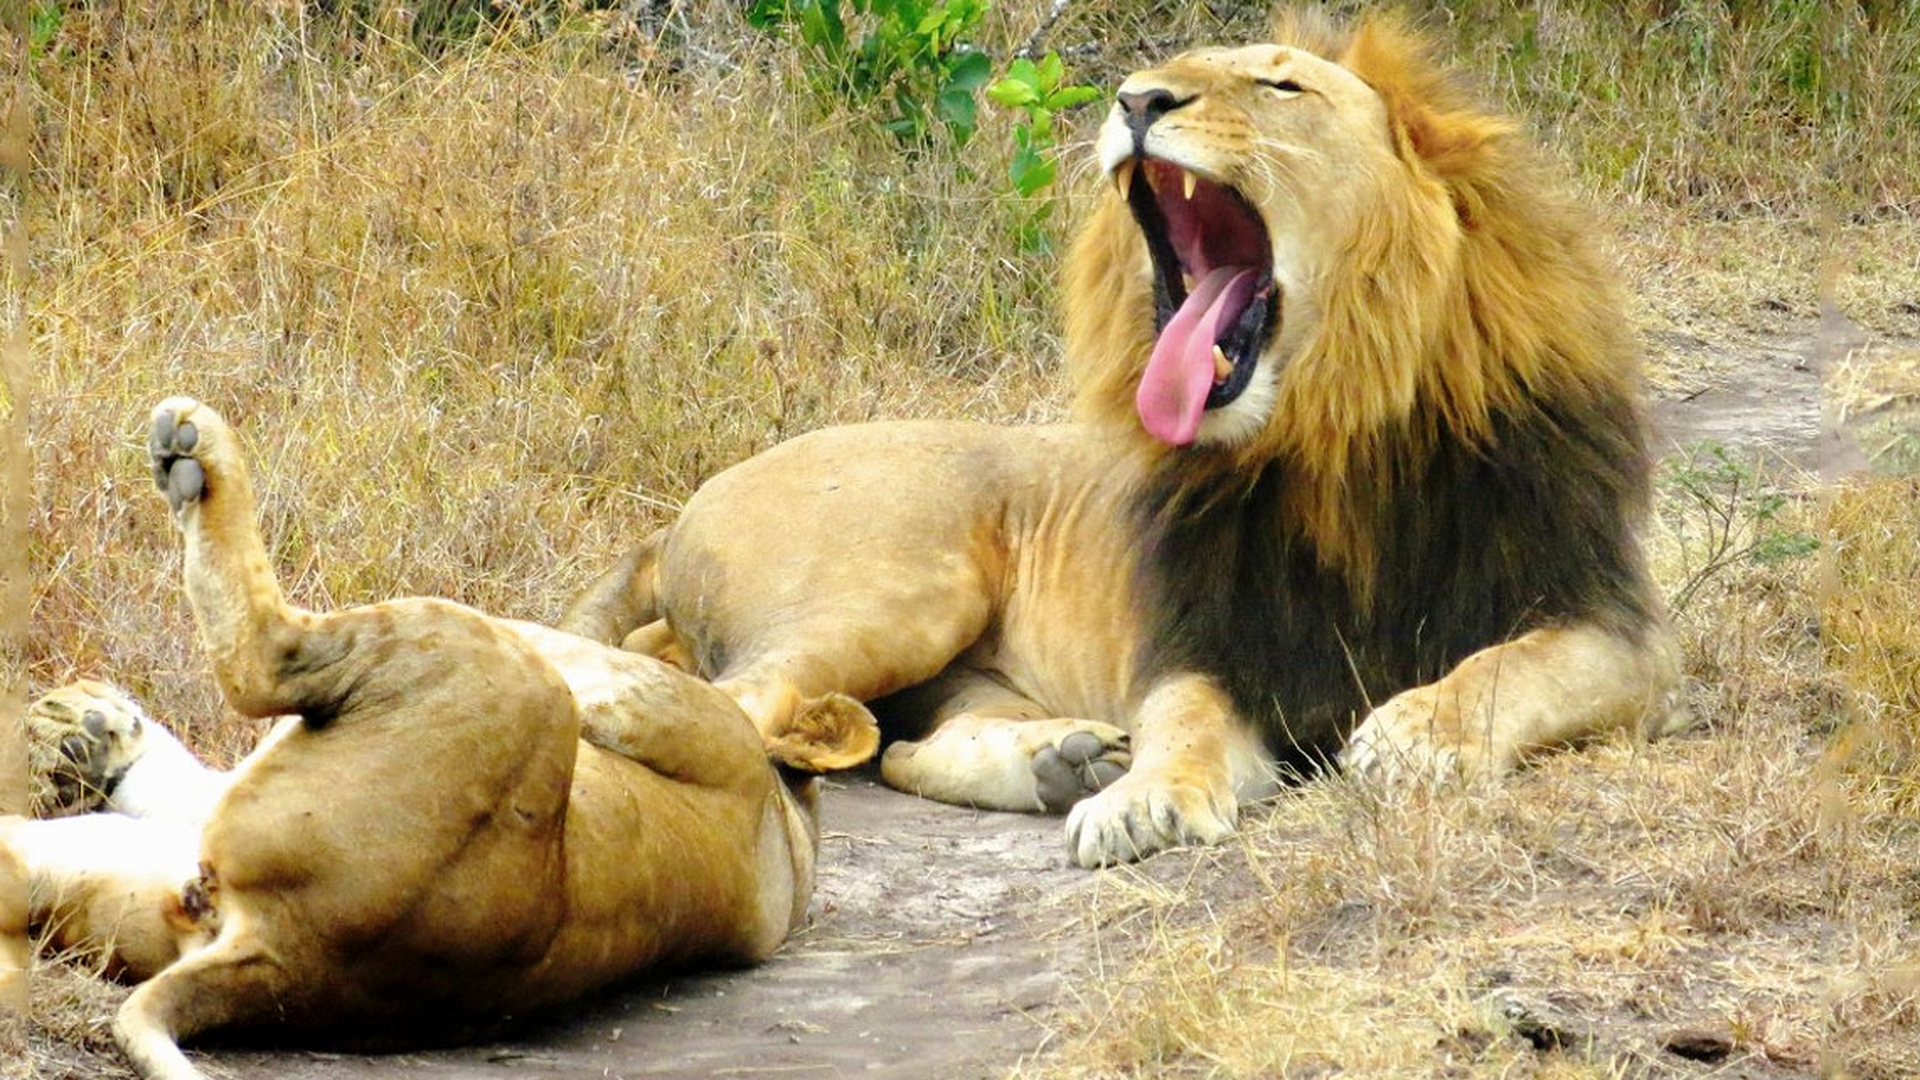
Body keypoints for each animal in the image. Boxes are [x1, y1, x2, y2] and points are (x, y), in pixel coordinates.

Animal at [2, 397, 877, 1080]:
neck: (792, 827)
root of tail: (290, 956)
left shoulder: (661, 700)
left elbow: (579, 652)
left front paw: (86, 728)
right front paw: (87, 729)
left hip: (480, 658)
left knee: (267, 656)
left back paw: (194, 452)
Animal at [561, 13, 1685, 868]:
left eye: (1281, 84)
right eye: (1165, 77)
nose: (1137, 101)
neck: (1331, 438)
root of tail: (693, 502)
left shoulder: (1610, 624)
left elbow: (1506, 669)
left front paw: (1418, 732)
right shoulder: (1203, 643)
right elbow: (1182, 724)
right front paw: (1149, 797)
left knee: (900, 744)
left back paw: (1061, 758)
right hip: (897, 590)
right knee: (737, 700)